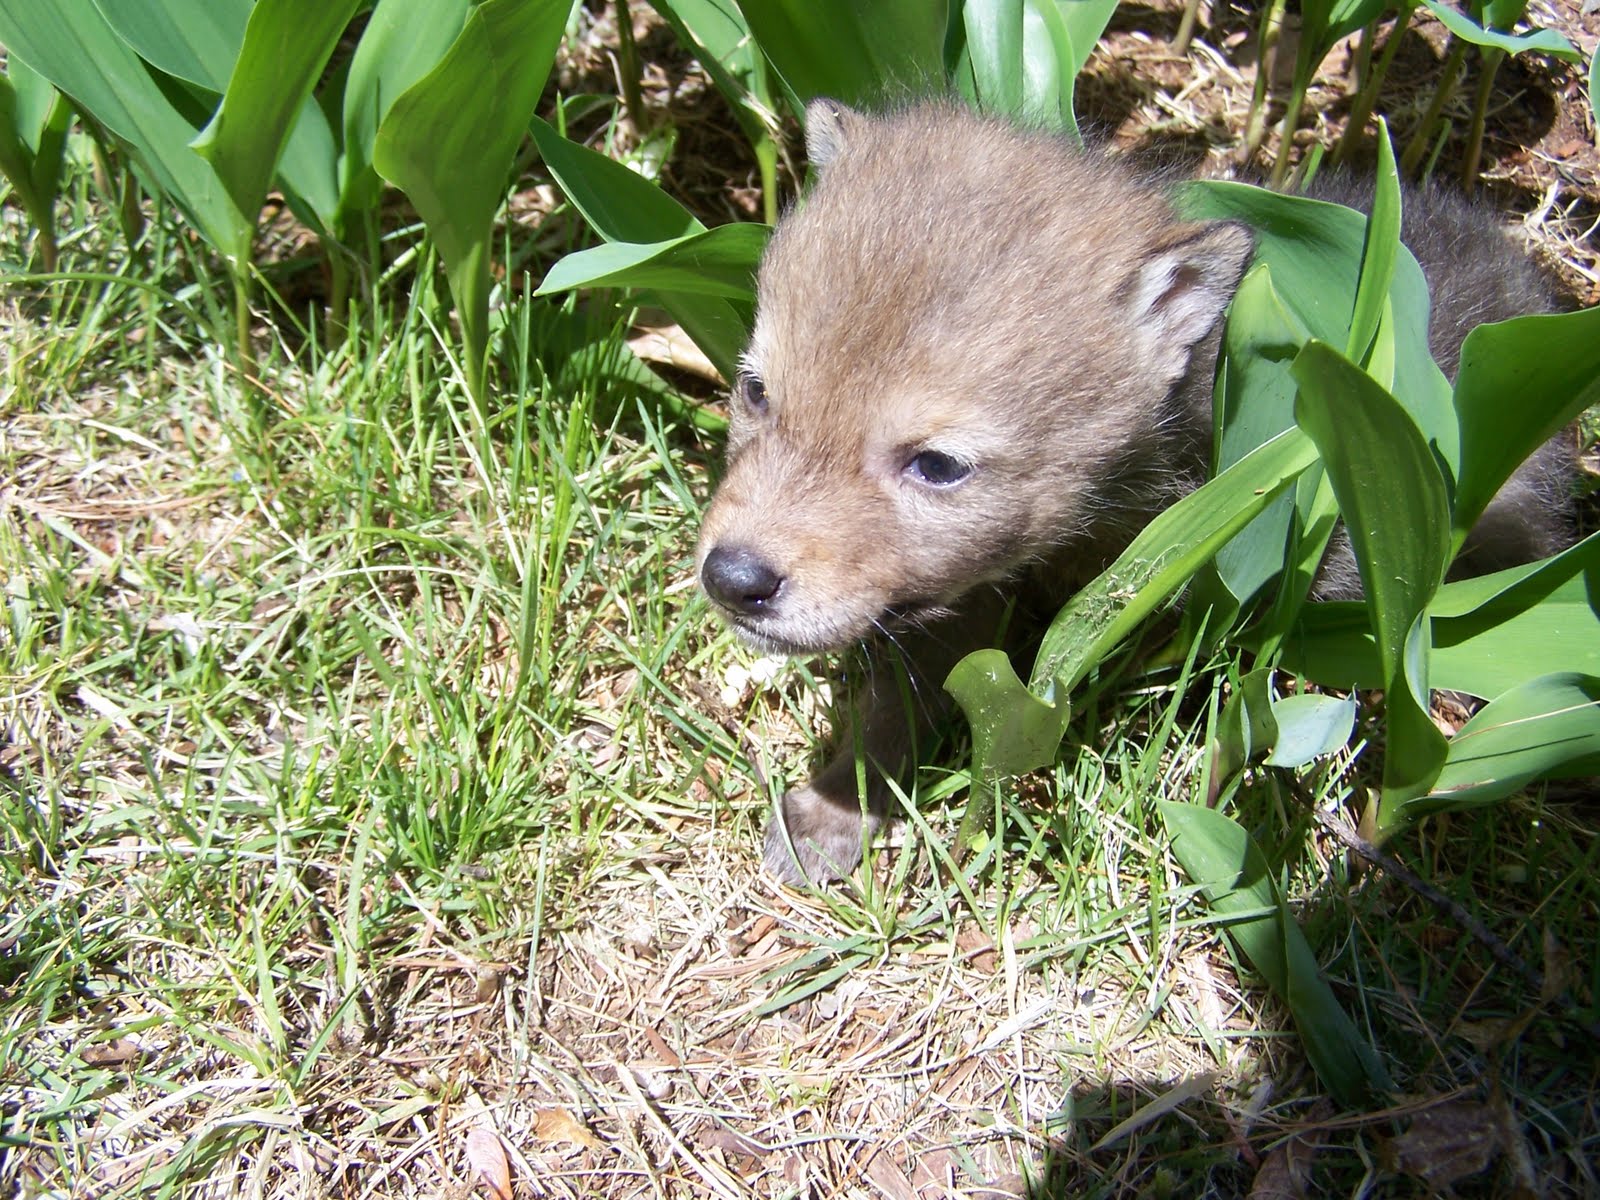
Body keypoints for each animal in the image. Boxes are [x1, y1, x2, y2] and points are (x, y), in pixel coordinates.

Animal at [696, 100, 1574, 886]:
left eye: (937, 466)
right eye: (757, 391)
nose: (733, 578)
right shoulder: (964, 600)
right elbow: (893, 706)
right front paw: (831, 811)